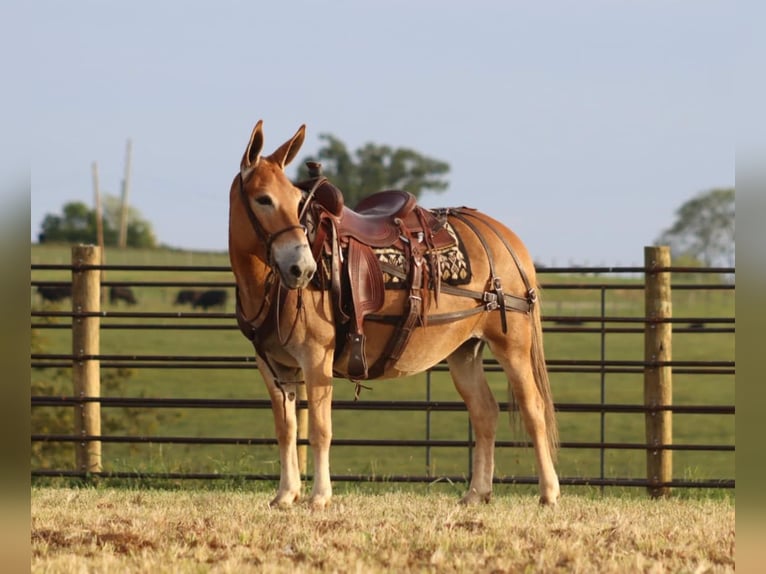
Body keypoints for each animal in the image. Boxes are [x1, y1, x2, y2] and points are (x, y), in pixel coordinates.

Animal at [228, 120, 560, 508]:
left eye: (297, 202)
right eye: (263, 199)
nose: (303, 268)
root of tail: (504, 236)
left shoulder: (315, 359)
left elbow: (321, 429)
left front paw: (319, 496)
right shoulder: (275, 366)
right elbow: (286, 429)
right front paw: (285, 494)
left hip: (513, 345)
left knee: (533, 409)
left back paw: (549, 492)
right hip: (464, 351)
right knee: (484, 413)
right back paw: (476, 493)